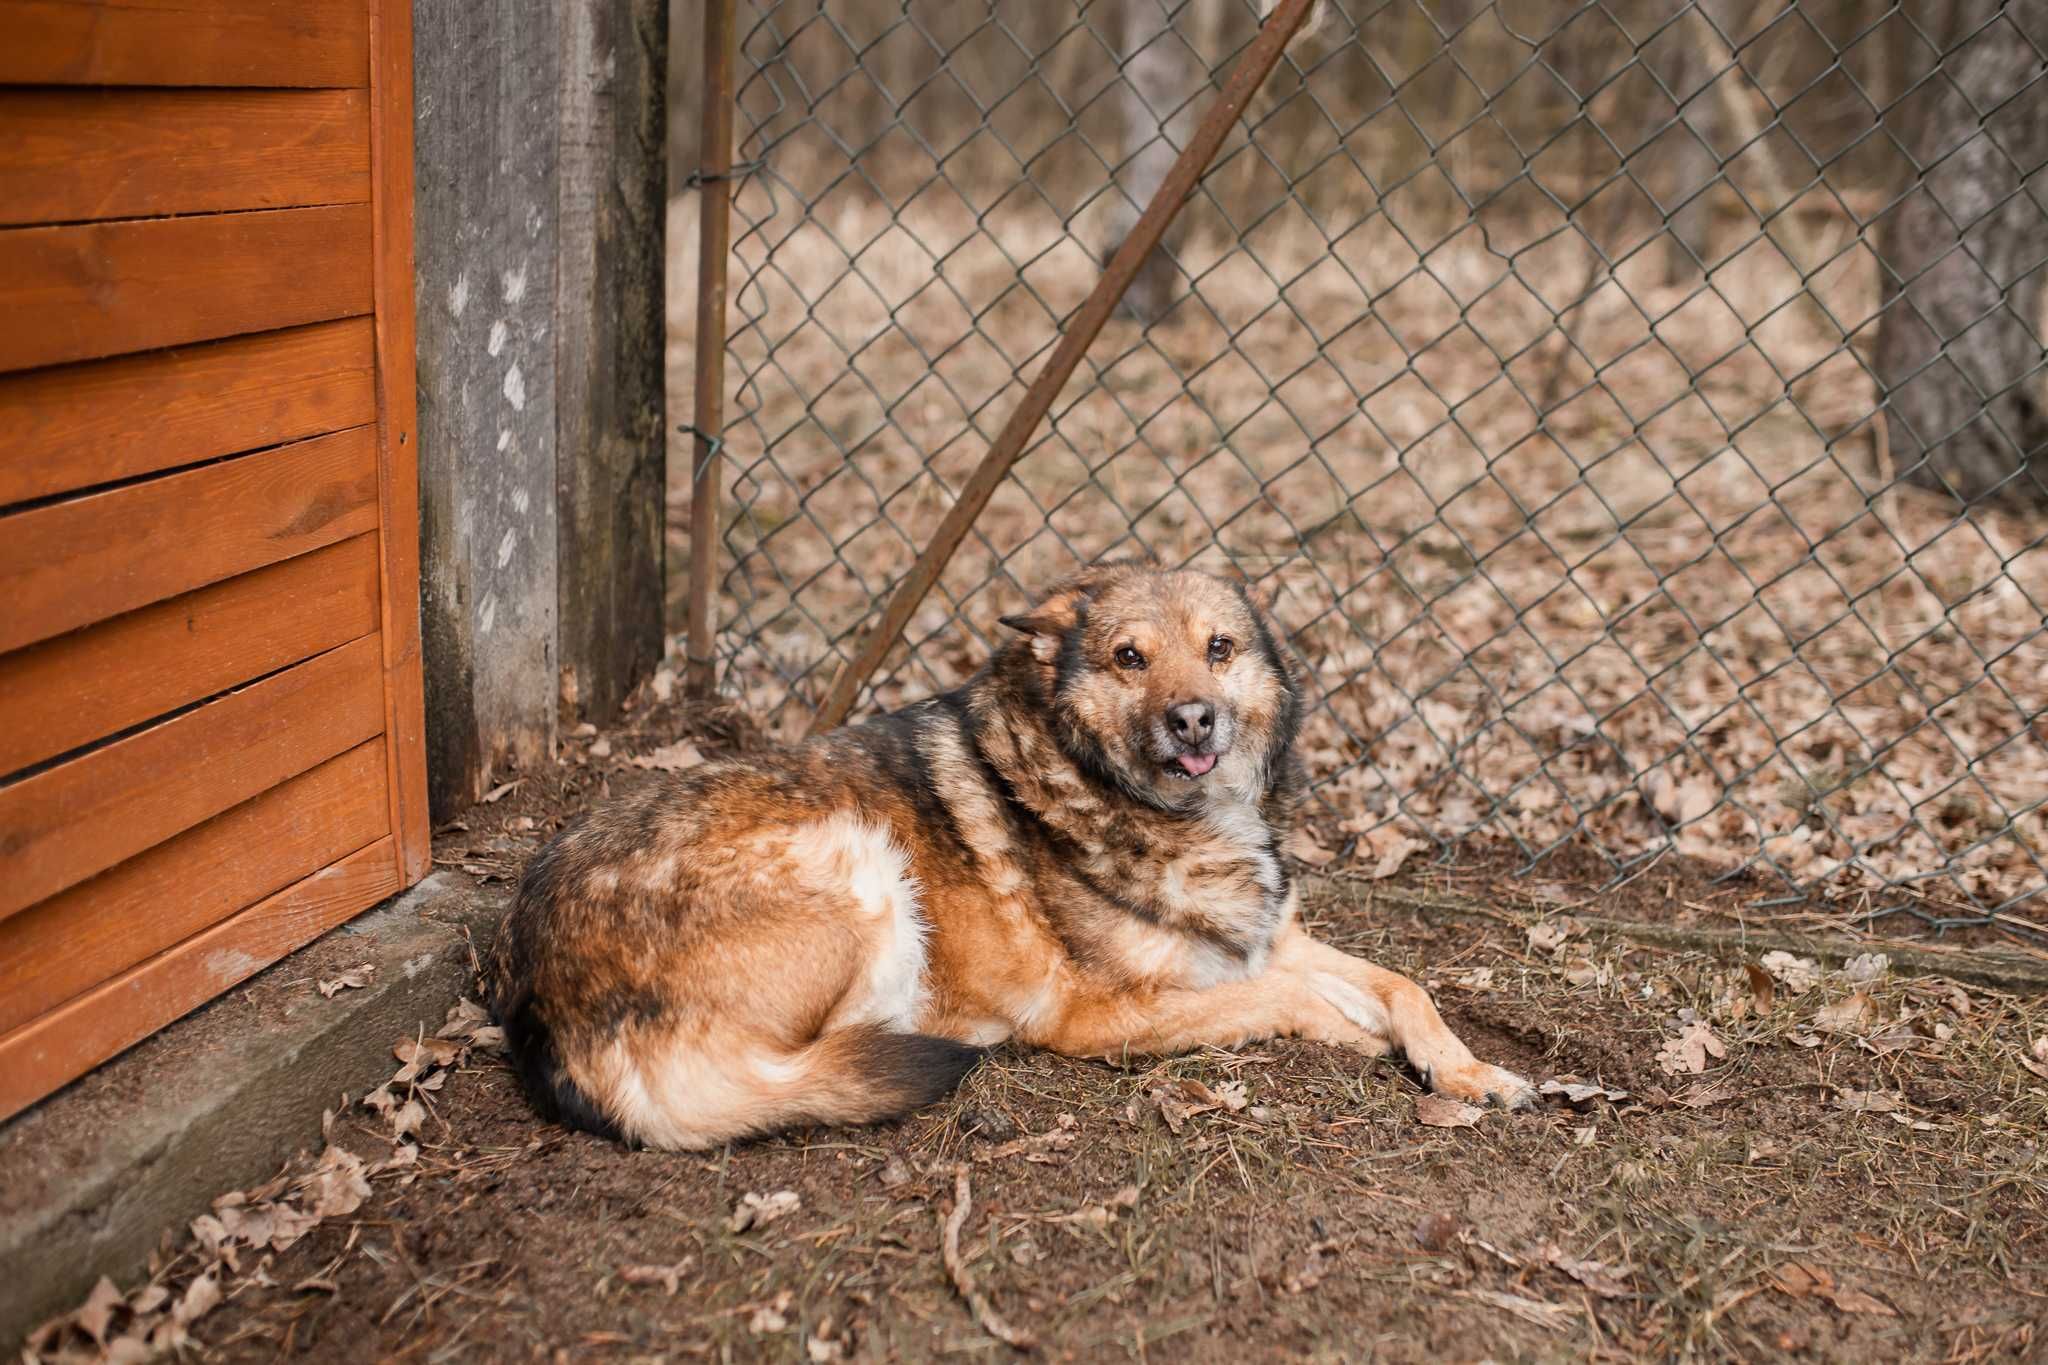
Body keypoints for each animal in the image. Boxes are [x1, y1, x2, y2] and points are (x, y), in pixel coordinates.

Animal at [487, 560, 1531, 1146]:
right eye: (1128, 657)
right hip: (858, 861)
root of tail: (540, 993)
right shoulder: (1097, 1012)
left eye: (1221, 648)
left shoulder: (1269, 939)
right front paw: (1356, 1035)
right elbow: (1283, 999)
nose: (1195, 720)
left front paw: (1469, 1072)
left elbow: (1404, 985)